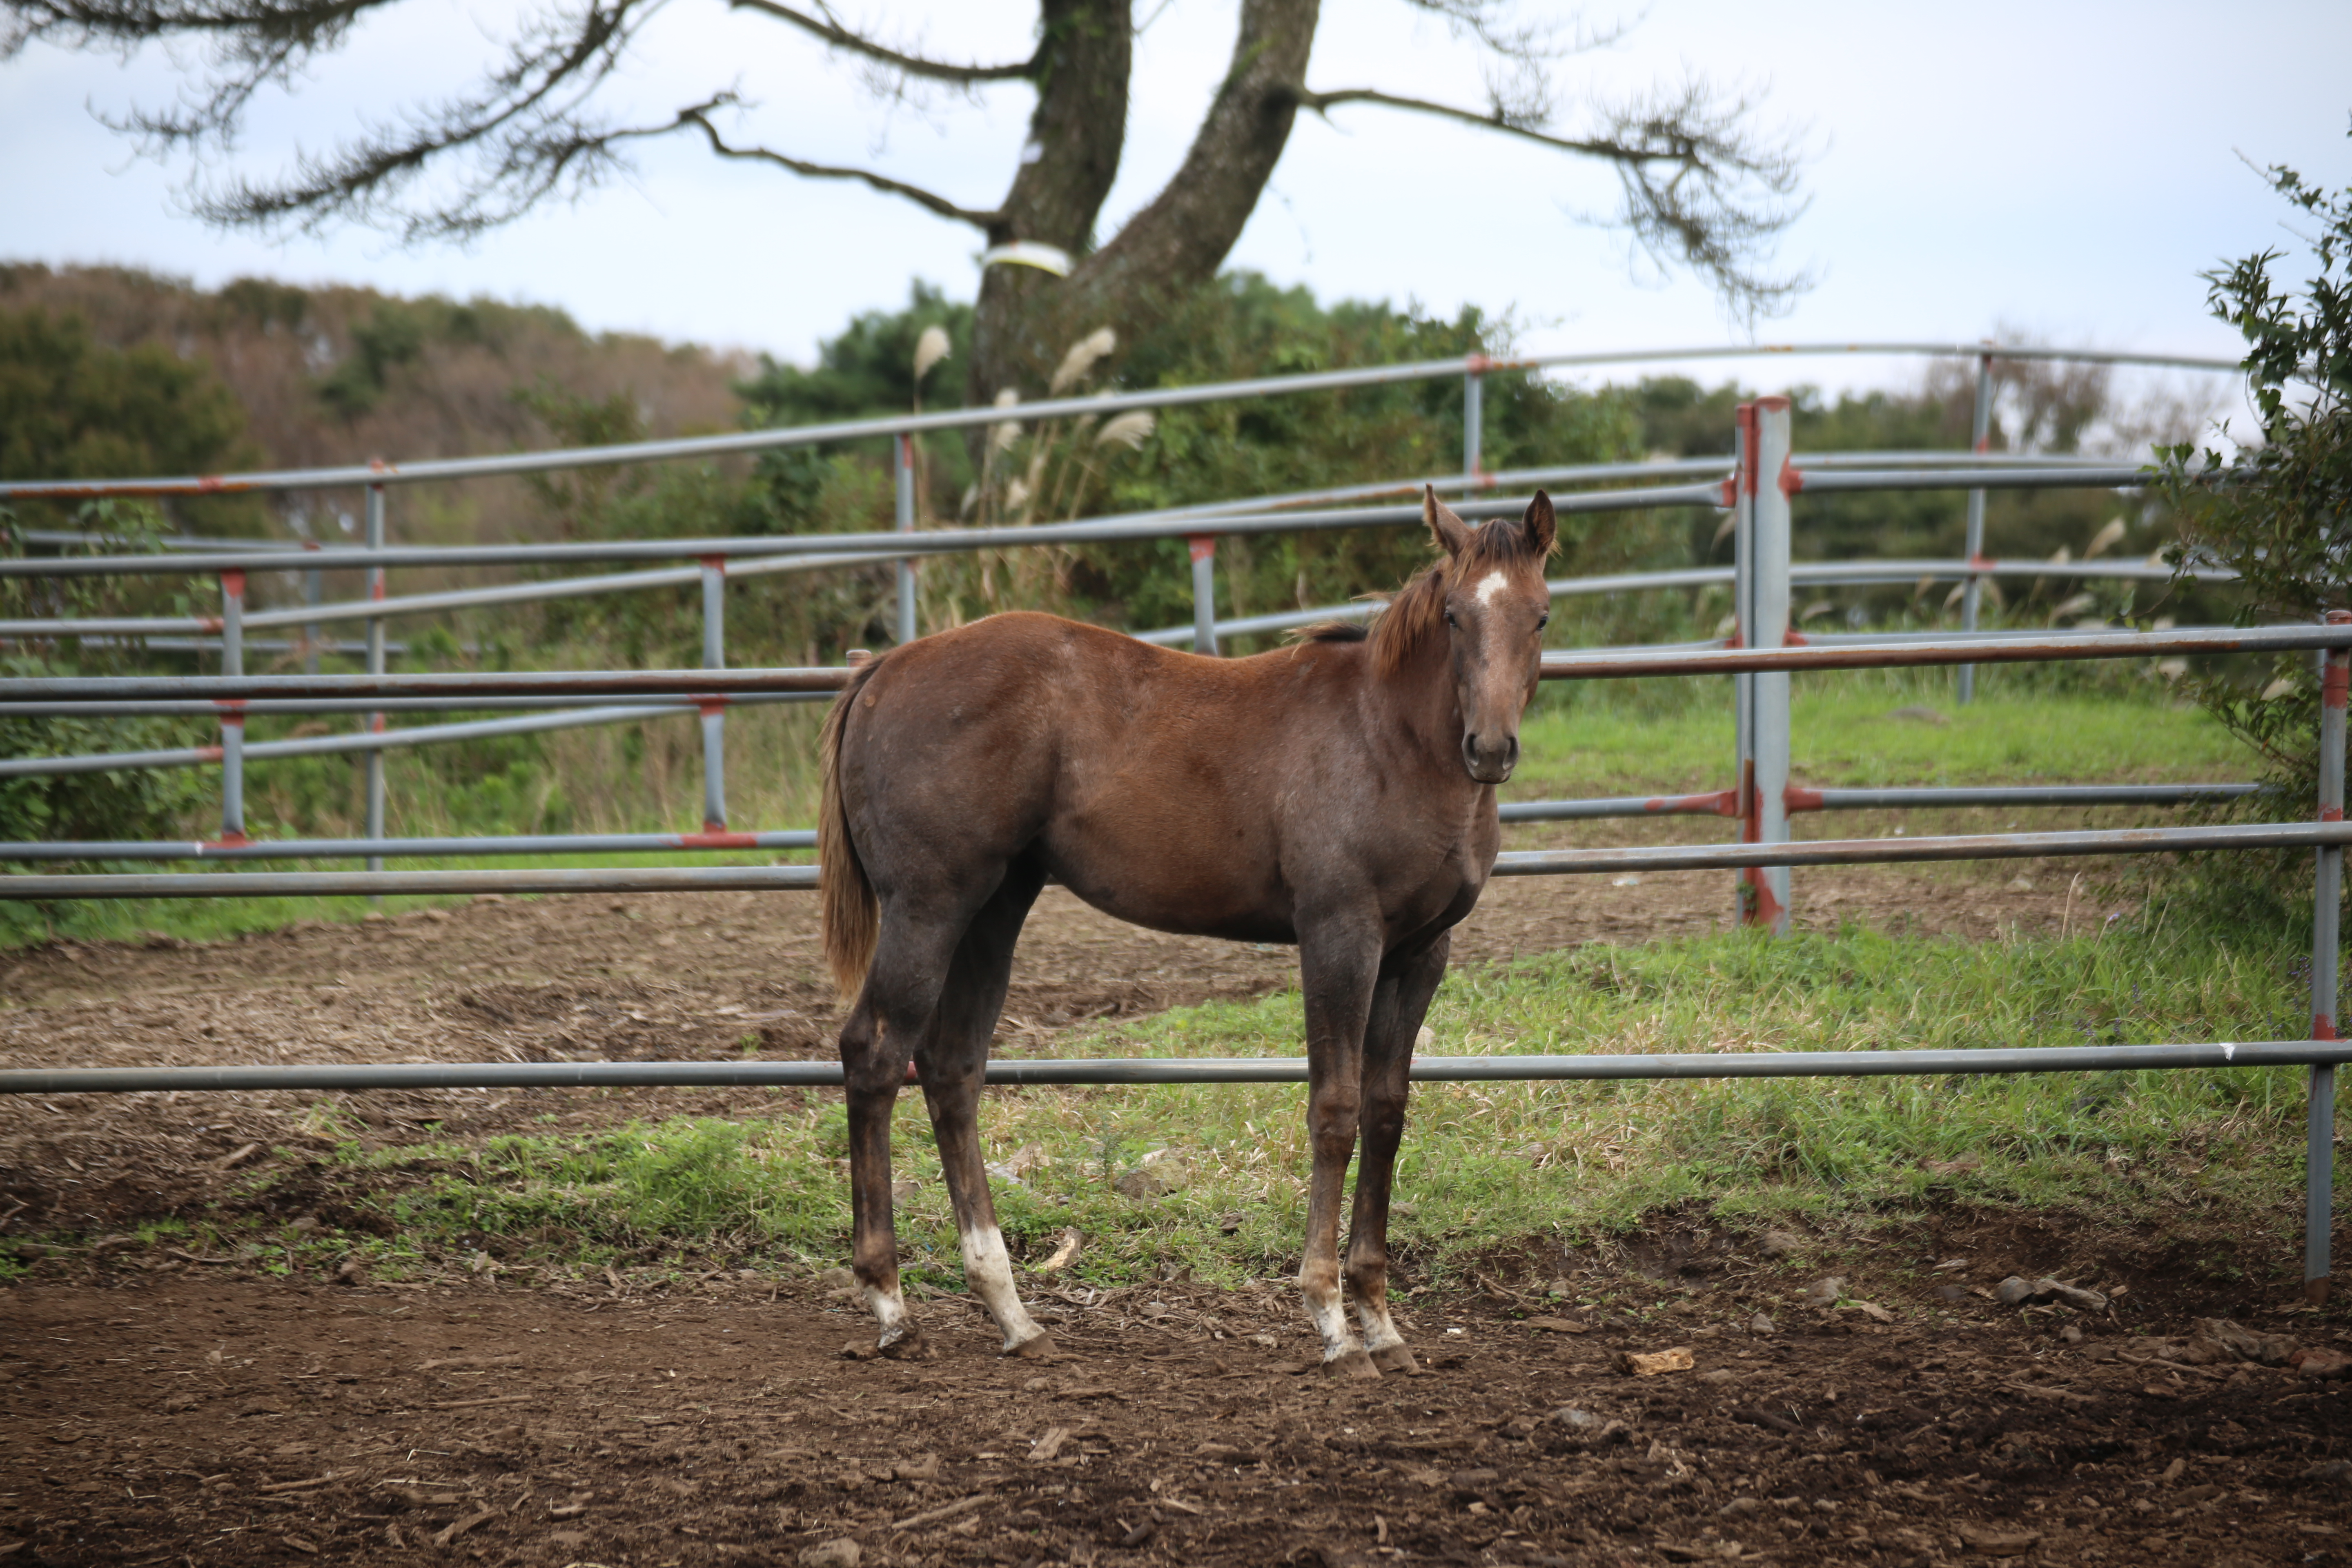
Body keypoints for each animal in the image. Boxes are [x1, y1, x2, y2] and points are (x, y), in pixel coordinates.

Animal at [818, 486, 1552, 1373]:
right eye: (1453, 615)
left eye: (1541, 616)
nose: (1491, 749)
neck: (1389, 740)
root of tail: (882, 670)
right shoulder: (1340, 936)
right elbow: (1335, 1109)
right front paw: (1332, 1321)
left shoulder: (1420, 952)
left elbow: (1385, 1113)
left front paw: (1382, 1321)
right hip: (929, 904)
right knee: (875, 1053)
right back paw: (890, 1303)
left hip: (993, 907)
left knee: (952, 1067)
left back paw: (1013, 1314)